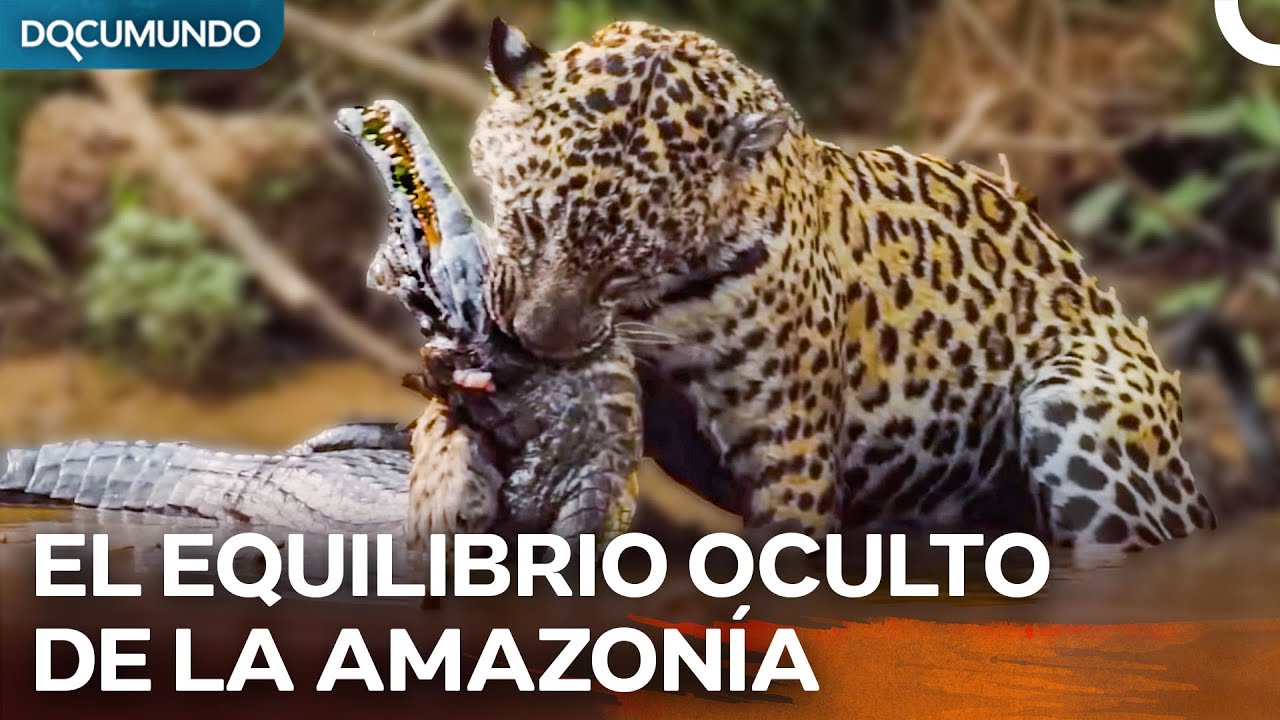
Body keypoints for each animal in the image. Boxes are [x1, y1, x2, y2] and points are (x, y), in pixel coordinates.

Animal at [469, 18, 1216, 565]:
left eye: (630, 264)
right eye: (529, 223)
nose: (535, 342)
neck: (667, 301)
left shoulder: (786, 450)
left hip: (1082, 412)